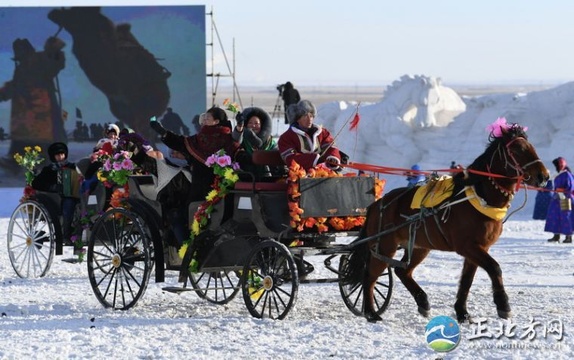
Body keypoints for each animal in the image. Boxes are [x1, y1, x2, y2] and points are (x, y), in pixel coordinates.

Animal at [344, 122, 552, 322]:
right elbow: (495, 268)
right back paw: (371, 313)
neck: (477, 197)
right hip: (384, 247)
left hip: (420, 246)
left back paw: (422, 301)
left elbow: (467, 280)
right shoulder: (467, 246)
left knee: (402, 271)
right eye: (517, 150)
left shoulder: (479, 248)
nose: (544, 176)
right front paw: (503, 305)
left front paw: (462, 312)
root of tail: (376, 204)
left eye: (532, 147)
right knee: (369, 277)